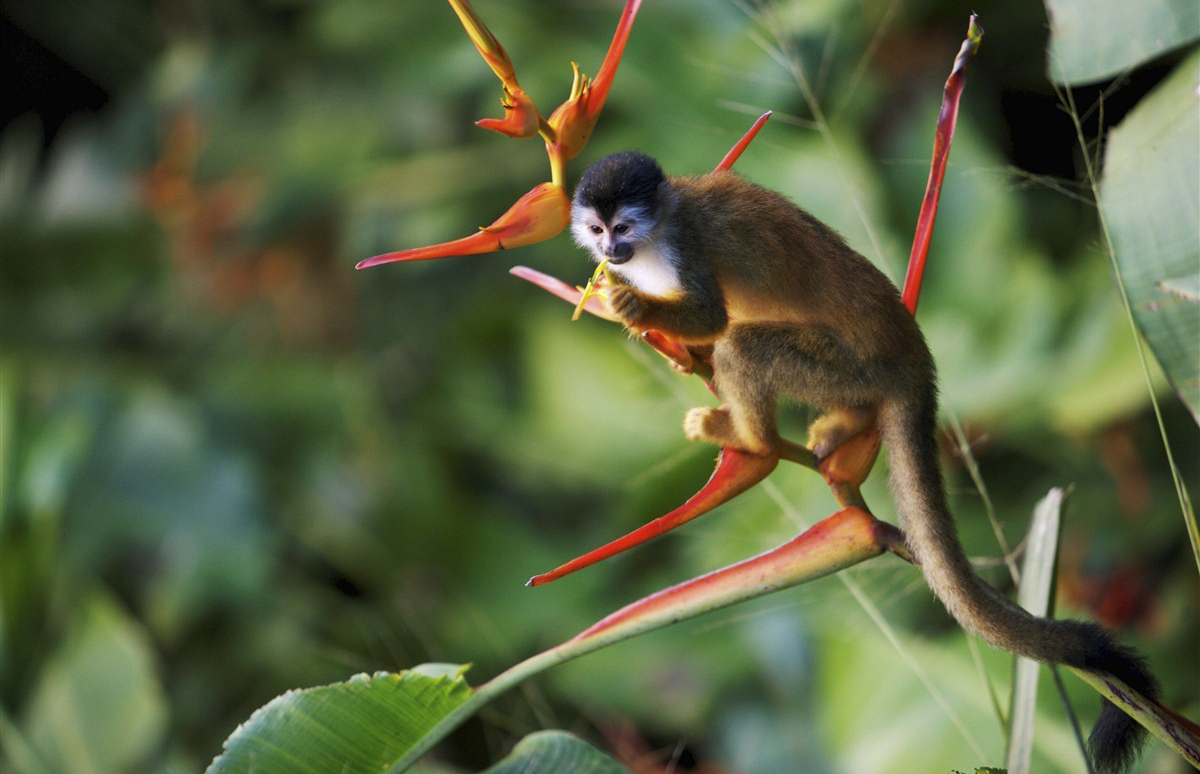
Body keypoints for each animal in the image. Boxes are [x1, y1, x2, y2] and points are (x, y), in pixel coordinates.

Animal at [571, 151, 1161, 772]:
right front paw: (677, 351)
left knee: (744, 345)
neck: (658, 230)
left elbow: (710, 316)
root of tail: (913, 356)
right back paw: (845, 423)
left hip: (846, 363)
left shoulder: (685, 248)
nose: (611, 251)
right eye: (598, 229)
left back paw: (756, 441)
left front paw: (636, 306)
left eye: (623, 227)